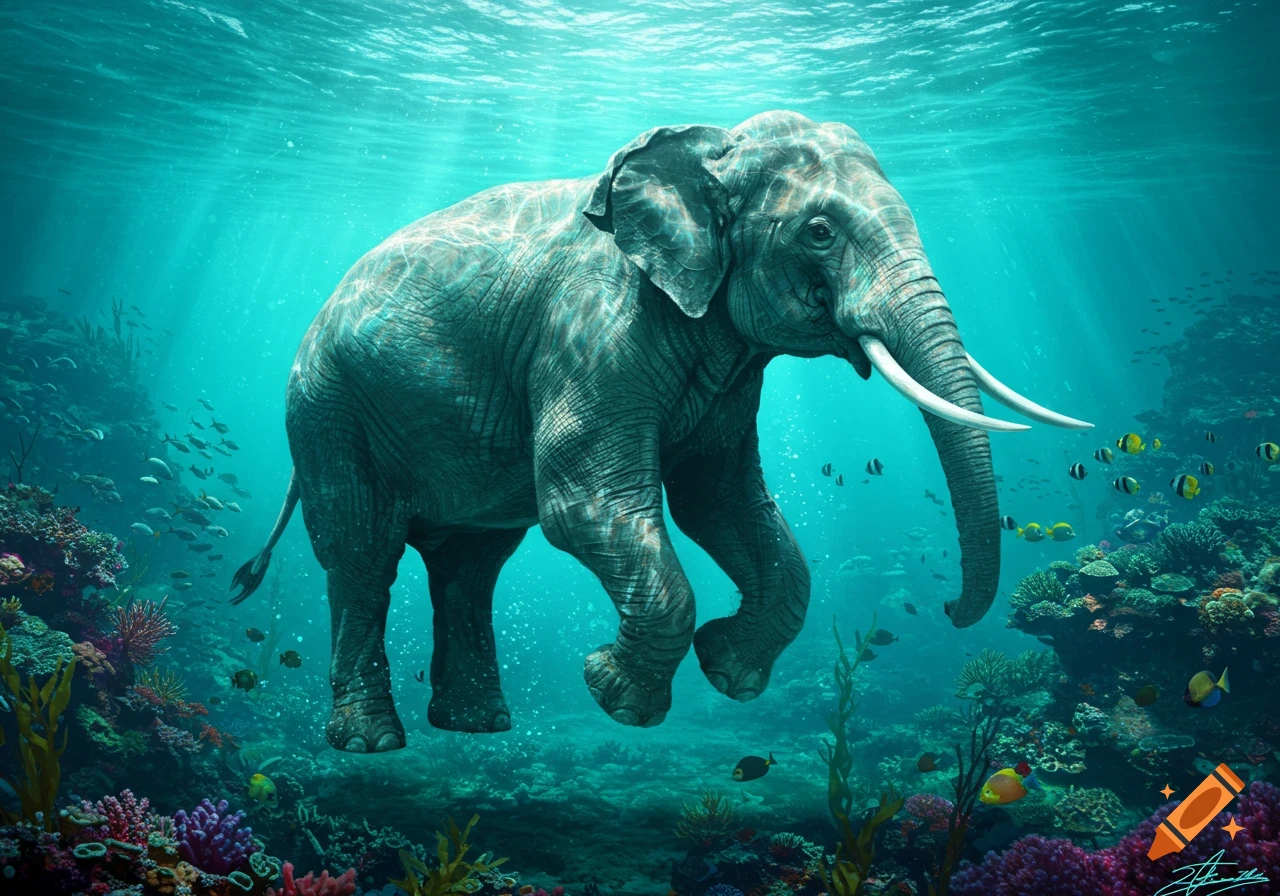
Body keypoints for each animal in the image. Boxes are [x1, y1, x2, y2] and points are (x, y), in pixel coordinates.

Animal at [232, 110, 1090, 753]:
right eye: (819, 231)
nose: (947, 611)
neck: (710, 147)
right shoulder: (593, 328)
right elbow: (585, 502)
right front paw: (614, 693)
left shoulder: (725, 366)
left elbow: (722, 506)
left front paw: (728, 672)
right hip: (327, 412)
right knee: (362, 554)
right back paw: (371, 743)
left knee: (471, 564)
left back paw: (478, 728)